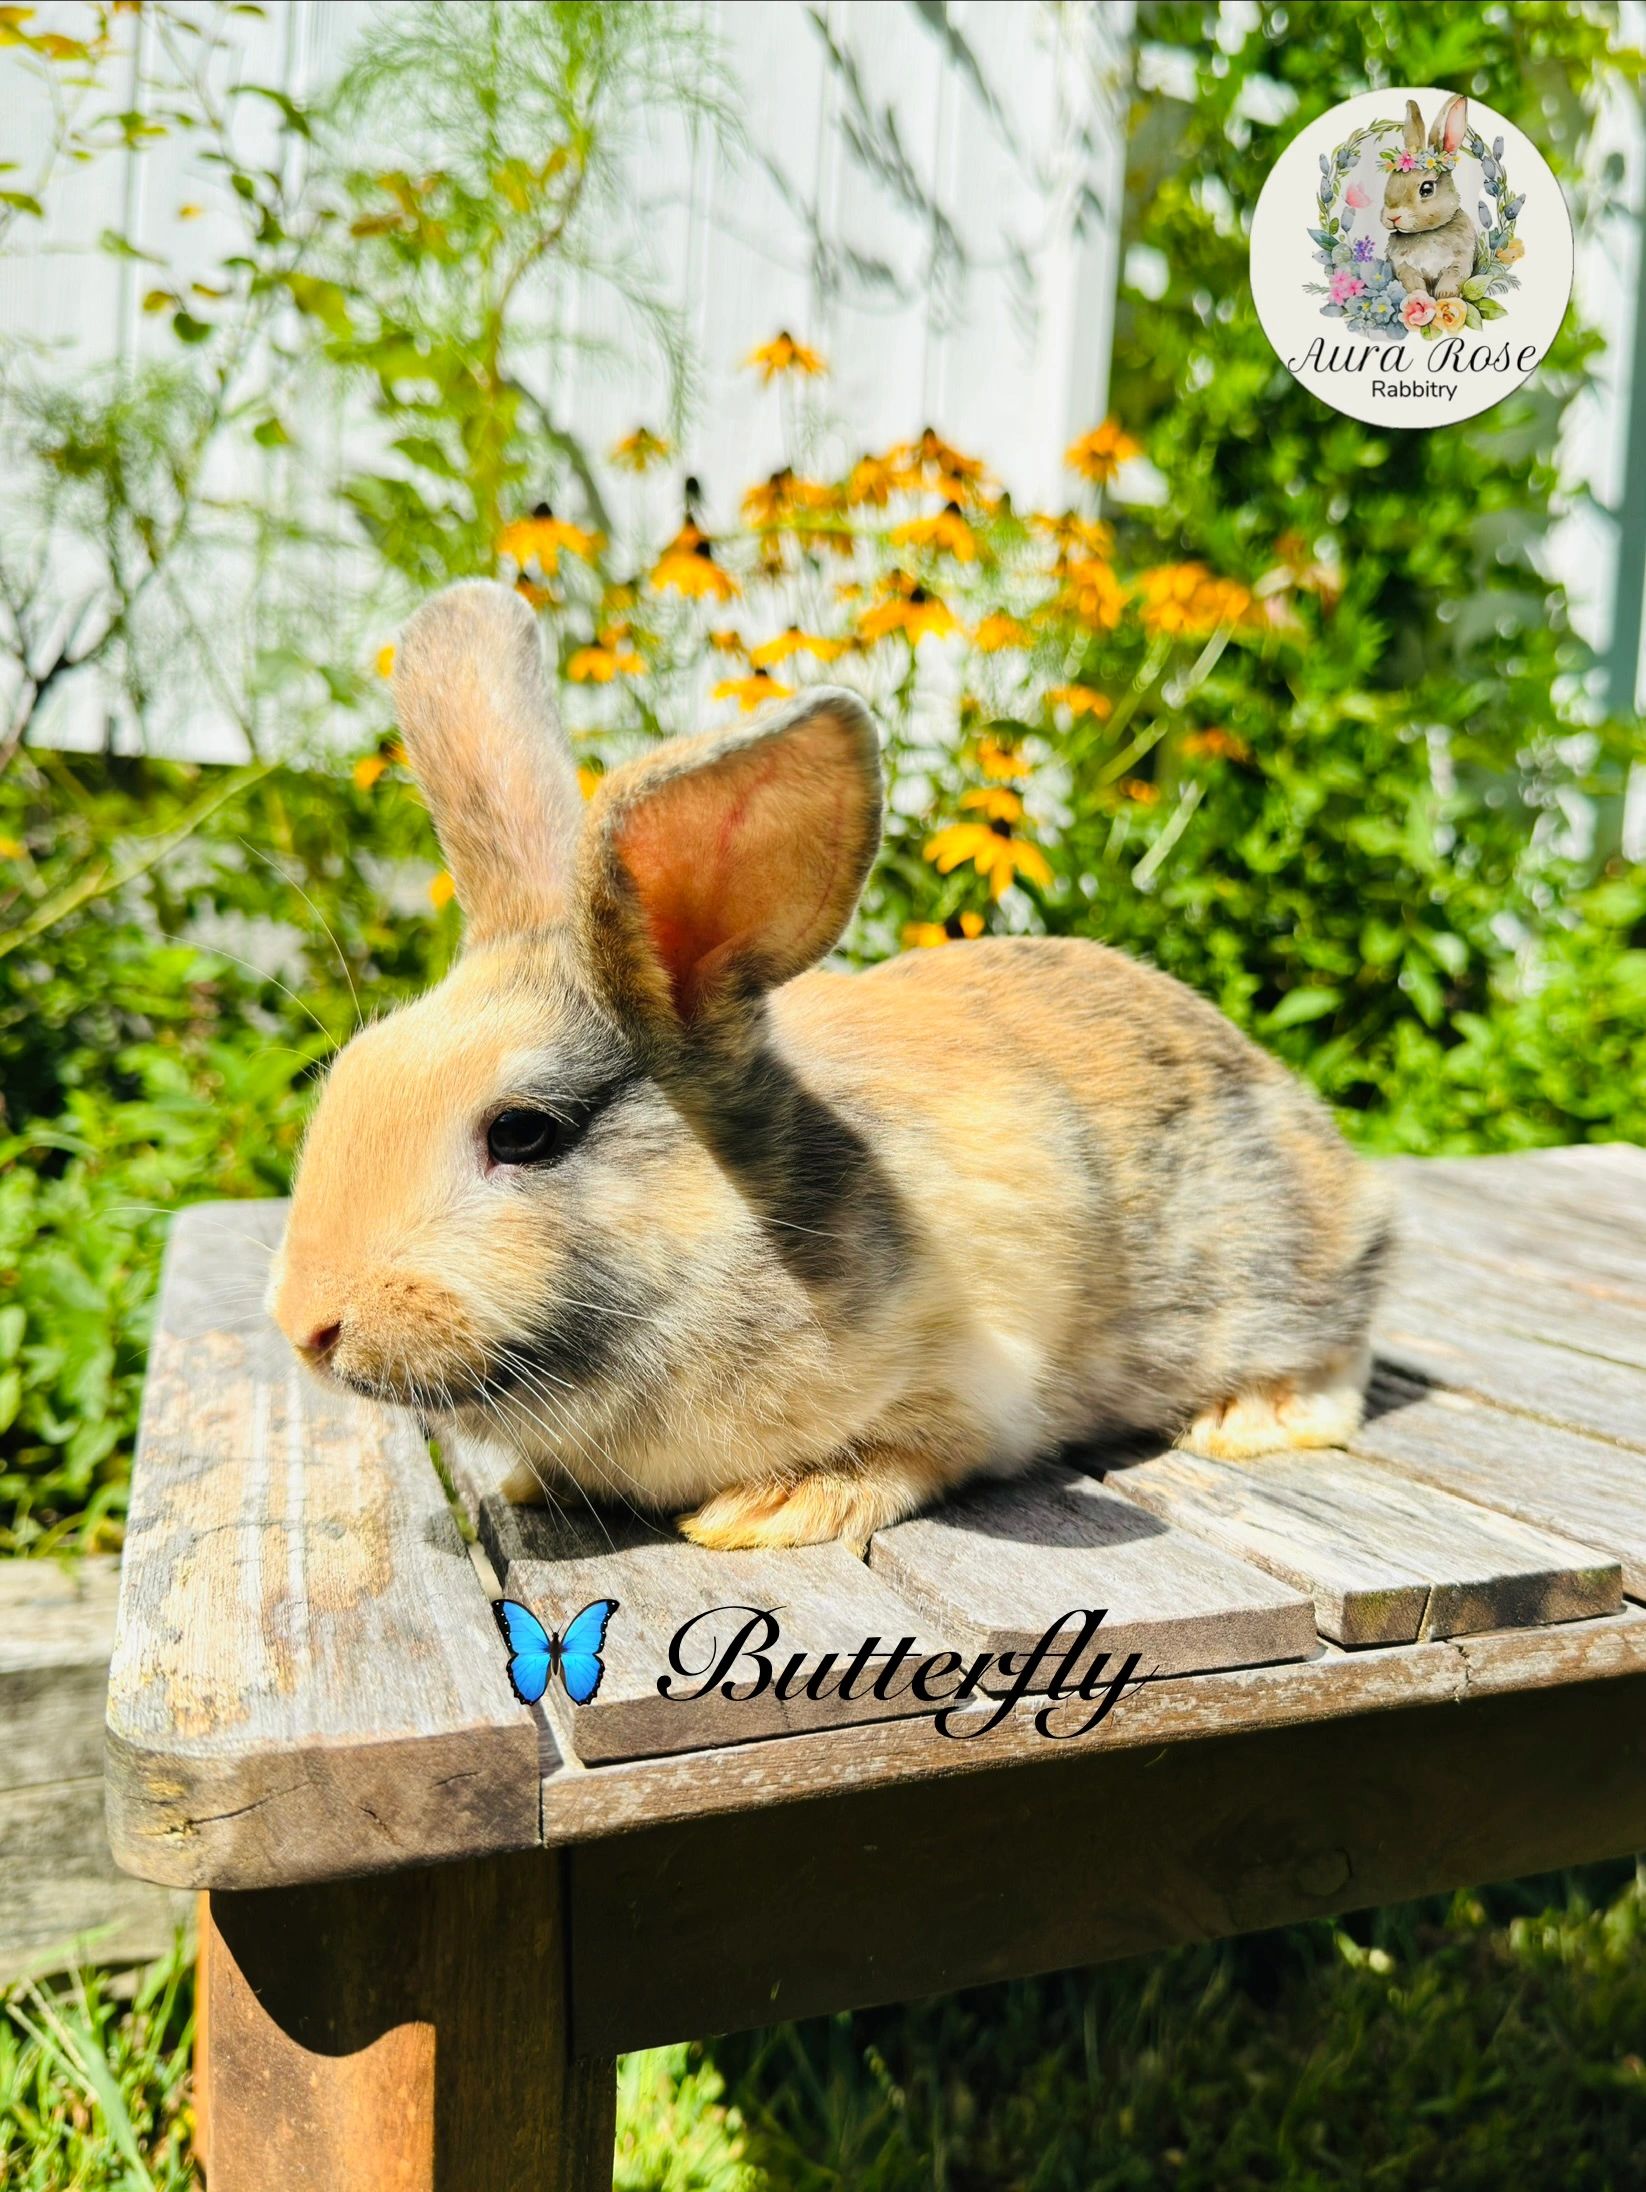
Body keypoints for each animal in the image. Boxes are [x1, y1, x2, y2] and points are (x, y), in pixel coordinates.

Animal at [269, 581, 1396, 1552]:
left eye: (522, 1130)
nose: (305, 1326)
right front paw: (527, 1483)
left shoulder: (966, 1381)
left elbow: (910, 1452)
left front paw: (772, 1509)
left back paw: (1253, 1417)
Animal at [1381, 95, 1476, 299]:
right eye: (1390, 181)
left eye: (1426, 189)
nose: (1392, 217)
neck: (1427, 232)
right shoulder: (1405, 267)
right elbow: (1413, 284)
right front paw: (1420, 298)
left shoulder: (1460, 261)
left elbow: (1453, 278)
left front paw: (1444, 295)